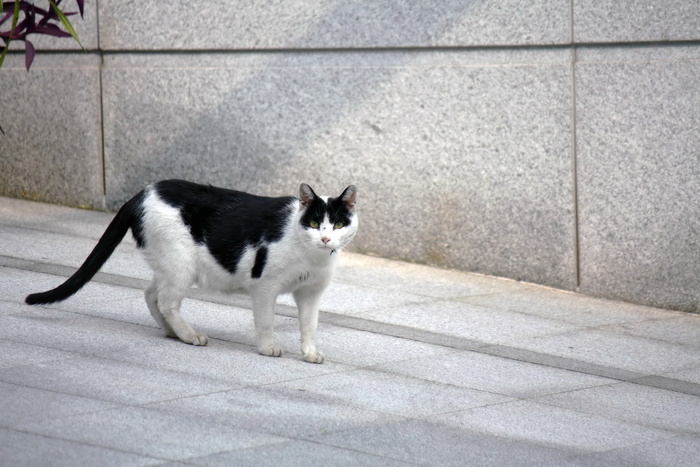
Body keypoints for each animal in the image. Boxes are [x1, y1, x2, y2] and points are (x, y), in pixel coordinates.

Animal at [24, 178, 358, 362]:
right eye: (313, 223)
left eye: (338, 224)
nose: (325, 238)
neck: (311, 256)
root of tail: (141, 193)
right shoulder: (264, 286)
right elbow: (265, 321)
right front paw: (267, 348)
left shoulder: (311, 293)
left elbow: (309, 325)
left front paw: (309, 353)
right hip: (180, 264)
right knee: (167, 302)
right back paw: (189, 335)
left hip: (169, 265)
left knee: (151, 294)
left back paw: (173, 333)